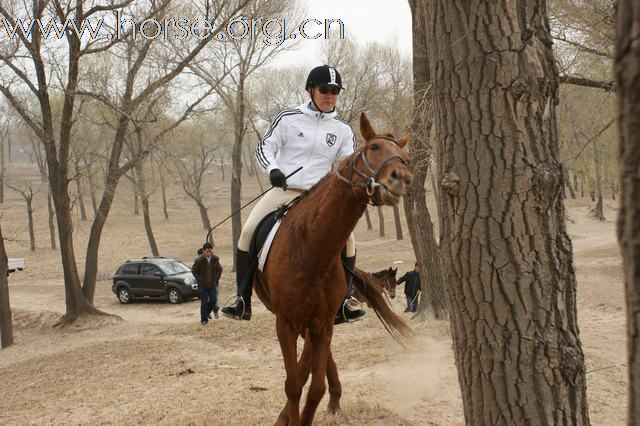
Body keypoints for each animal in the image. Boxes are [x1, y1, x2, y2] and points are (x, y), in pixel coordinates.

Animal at [252, 111, 412, 424]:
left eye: (405, 158)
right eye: (374, 148)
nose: (402, 179)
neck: (312, 249)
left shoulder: (323, 322)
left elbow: (313, 386)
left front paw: (312, 409)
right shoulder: (285, 323)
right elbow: (293, 385)